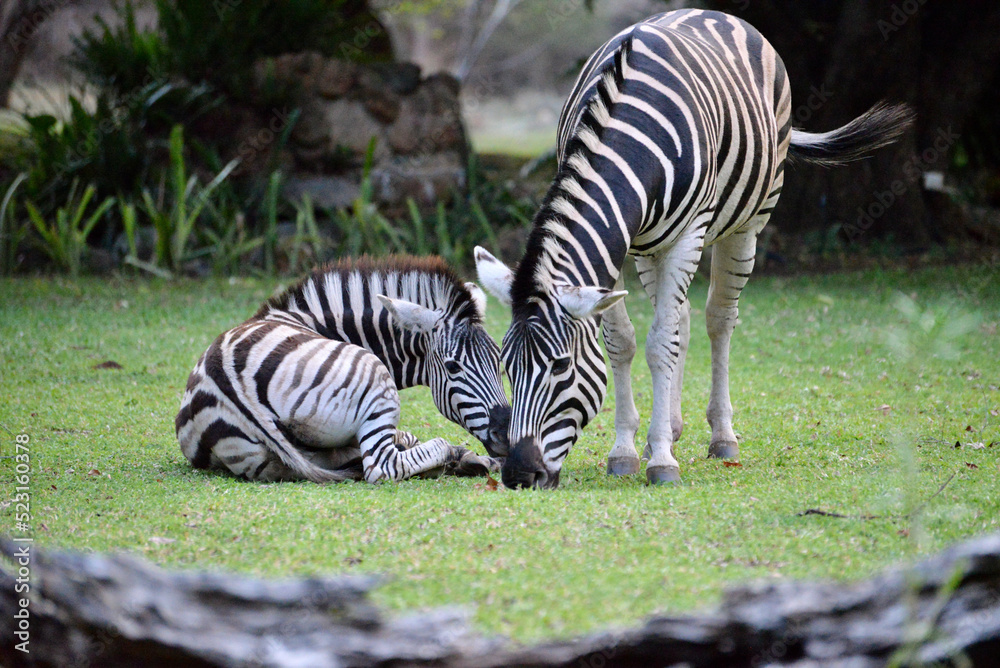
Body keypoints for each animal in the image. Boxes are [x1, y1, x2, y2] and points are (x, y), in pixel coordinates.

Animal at [176, 255, 510, 483]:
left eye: (499, 362)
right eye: (453, 367)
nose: (506, 434)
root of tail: (229, 379)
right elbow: (409, 440)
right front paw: (466, 458)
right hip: (376, 380)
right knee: (381, 466)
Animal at [474, 9, 913, 488]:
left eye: (559, 367)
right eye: (507, 367)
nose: (519, 474)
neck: (630, 137)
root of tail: (713, 13)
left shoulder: (688, 236)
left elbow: (660, 343)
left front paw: (662, 461)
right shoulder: (619, 244)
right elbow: (623, 341)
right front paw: (628, 449)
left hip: (747, 223)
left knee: (718, 318)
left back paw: (721, 436)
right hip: (651, 245)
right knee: (680, 317)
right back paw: (669, 427)